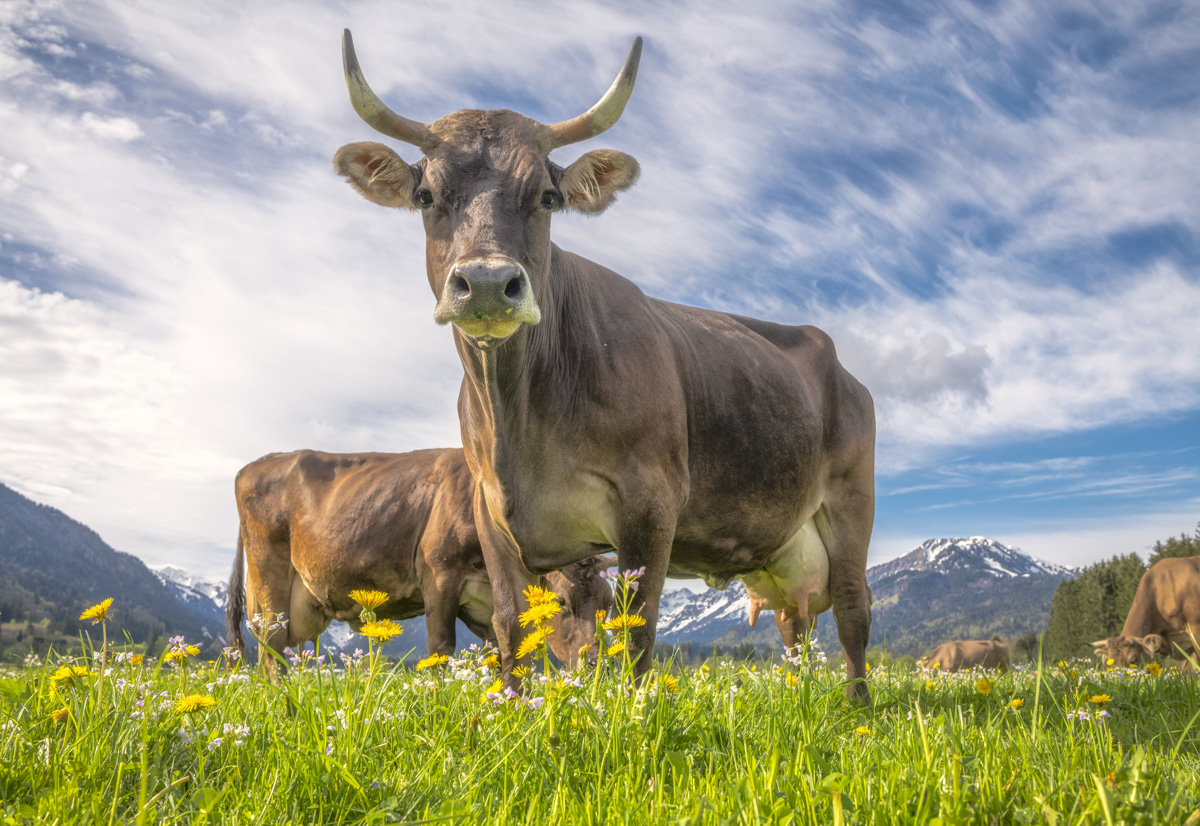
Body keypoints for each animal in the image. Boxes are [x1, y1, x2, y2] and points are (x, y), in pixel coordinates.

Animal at [225, 448, 613, 675]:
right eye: (561, 601)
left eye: (608, 604)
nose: (596, 661)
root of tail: (257, 464)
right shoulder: (439, 575)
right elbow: (441, 649)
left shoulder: (485, 601)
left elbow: (501, 650)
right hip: (269, 582)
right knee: (271, 650)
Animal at [333, 31, 876, 701]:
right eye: (427, 195)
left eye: (545, 196)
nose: (486, 283)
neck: (521, 420)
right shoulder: (490, 509)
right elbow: (512, 624)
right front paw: (510, 705)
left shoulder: (651, 499)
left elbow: (637, 625)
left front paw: (636, 710)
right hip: (785, 549)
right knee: (794, 624)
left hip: (852, 500)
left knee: (852, 608)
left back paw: (858, 705)